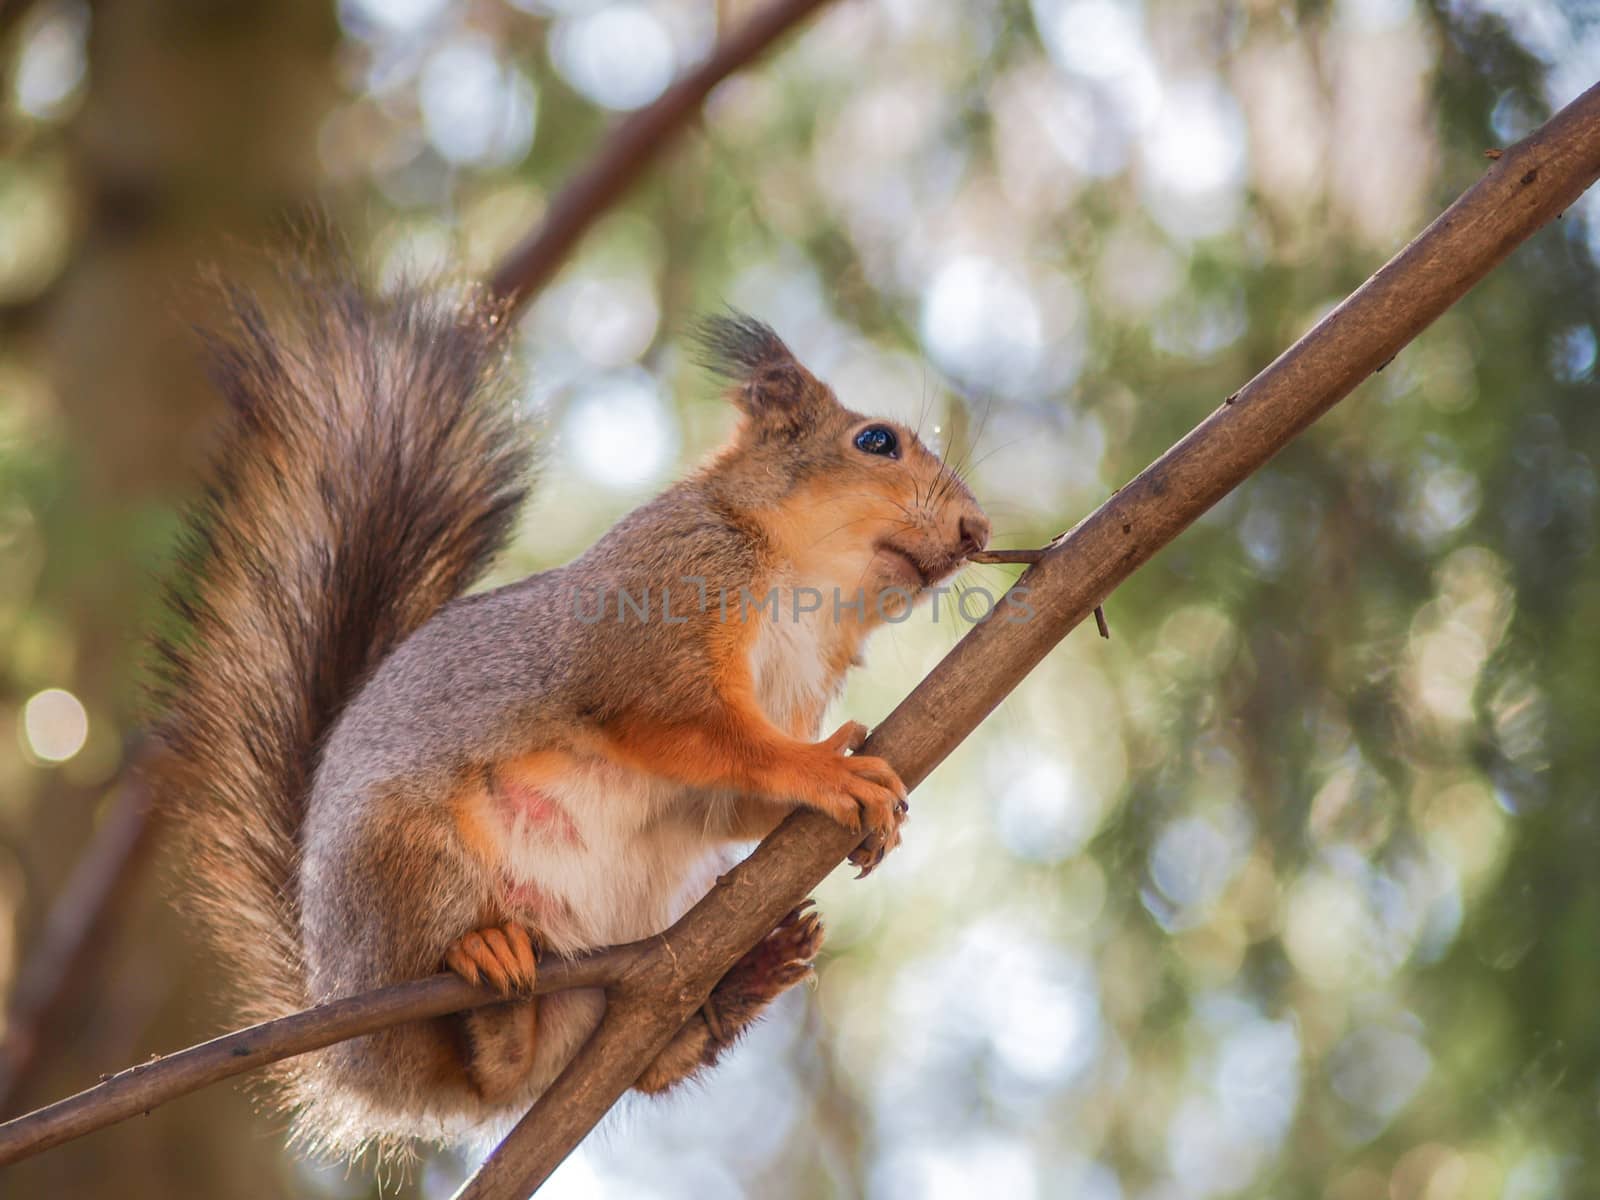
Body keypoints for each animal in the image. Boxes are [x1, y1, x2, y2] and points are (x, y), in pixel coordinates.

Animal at [156, 272, 992, 1164]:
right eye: (876, 441)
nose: (978, 531)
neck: (808, 584)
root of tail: (344, 1052)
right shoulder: (664, 610)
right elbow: (701, 732)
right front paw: (828, 768)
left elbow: (724, 800)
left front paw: (861, 785)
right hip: (404, 865)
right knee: (466, 1051)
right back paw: (486, 971)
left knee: (617, 1068)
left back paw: (736, 984)